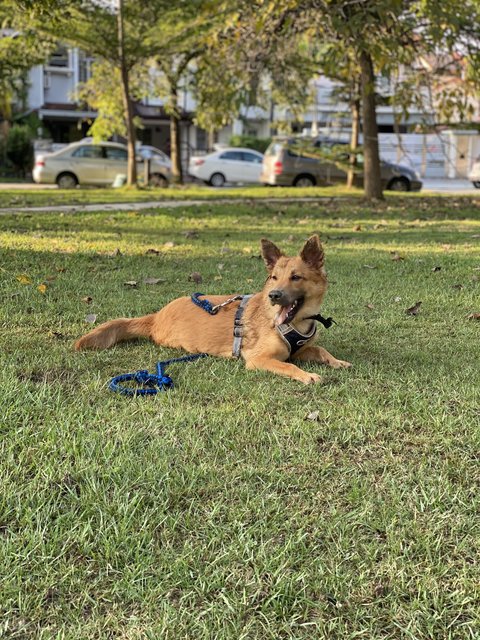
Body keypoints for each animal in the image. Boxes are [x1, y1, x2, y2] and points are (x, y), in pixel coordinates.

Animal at [76, 236, 352, 382]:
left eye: (296, 277)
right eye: (274, 277)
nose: (274, 295)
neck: (294, 324)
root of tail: (157, 316)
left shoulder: (300, 350)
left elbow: (320, 350)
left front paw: (336, 361)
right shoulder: (259, 359)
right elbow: (288, 366)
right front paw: (306, 375)